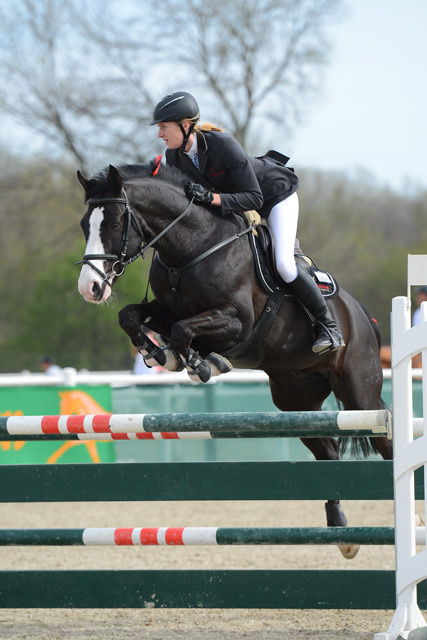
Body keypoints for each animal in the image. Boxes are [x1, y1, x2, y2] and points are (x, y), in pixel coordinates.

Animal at [77, 161, 394, 560]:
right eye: (84, 225)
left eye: (116, 222)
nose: (89, 288)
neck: (190, 249)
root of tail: (361, 314)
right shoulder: (166, 310)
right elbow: (133, 316)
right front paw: (160, 354)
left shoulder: (237, 322)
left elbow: (183, 330)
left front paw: (200, 363)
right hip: (297, 401)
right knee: (327, 451)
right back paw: (342, 533)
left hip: (359, 396)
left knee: (385, 442)